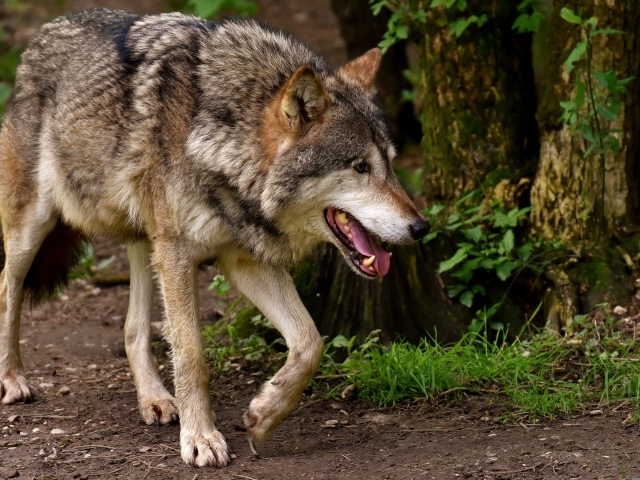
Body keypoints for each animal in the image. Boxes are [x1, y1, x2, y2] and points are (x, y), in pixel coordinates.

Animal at [0, 6, 430, 464]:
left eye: (390, 164)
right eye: (360, 167)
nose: (421, 227)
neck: (220, 141)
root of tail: (44, 32)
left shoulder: (243, 259)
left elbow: (310, 342)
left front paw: (265, 414)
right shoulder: (179, 254)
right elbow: (192, 356)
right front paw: (201, 438)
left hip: (145, 242)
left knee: (133, 329)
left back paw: (155, 400)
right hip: (35, 228)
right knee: (8, 288)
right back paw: (12, 379)